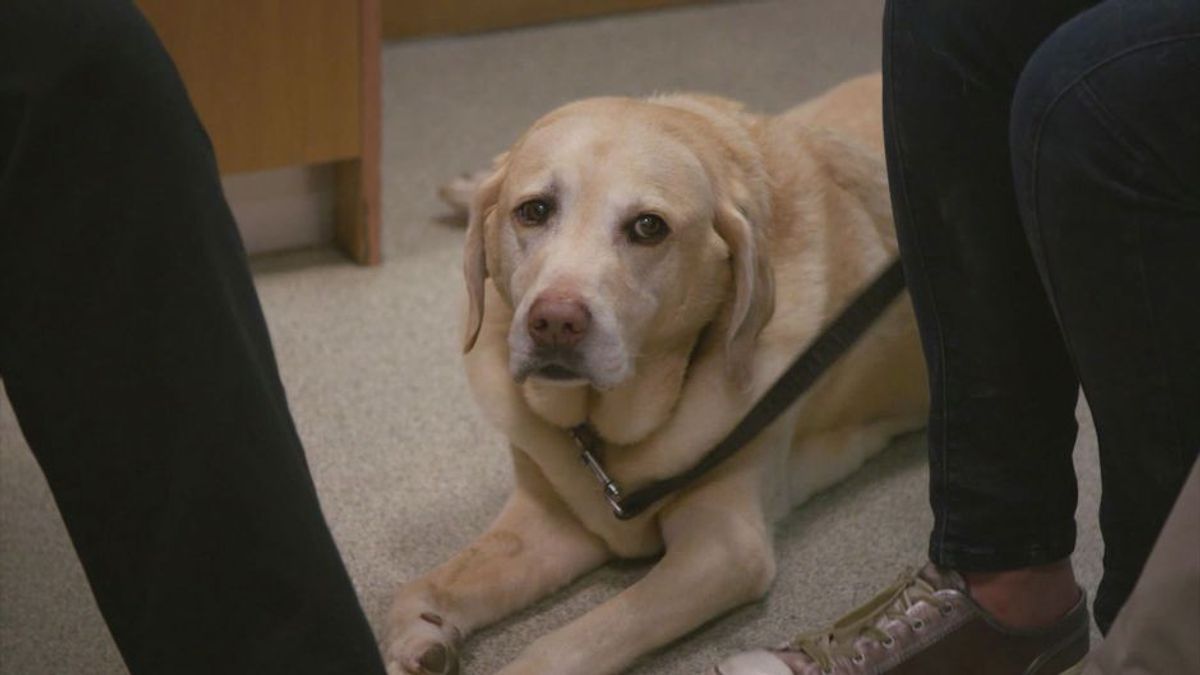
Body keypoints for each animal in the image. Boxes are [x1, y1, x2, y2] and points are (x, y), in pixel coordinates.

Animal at [384, 73, 926, 672]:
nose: (555, 322)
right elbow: (420, 588)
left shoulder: (724, 547)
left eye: (648, 227)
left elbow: (567, 643)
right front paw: (422, 636)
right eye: (533, 210)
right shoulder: (550, 520)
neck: (602, 429)